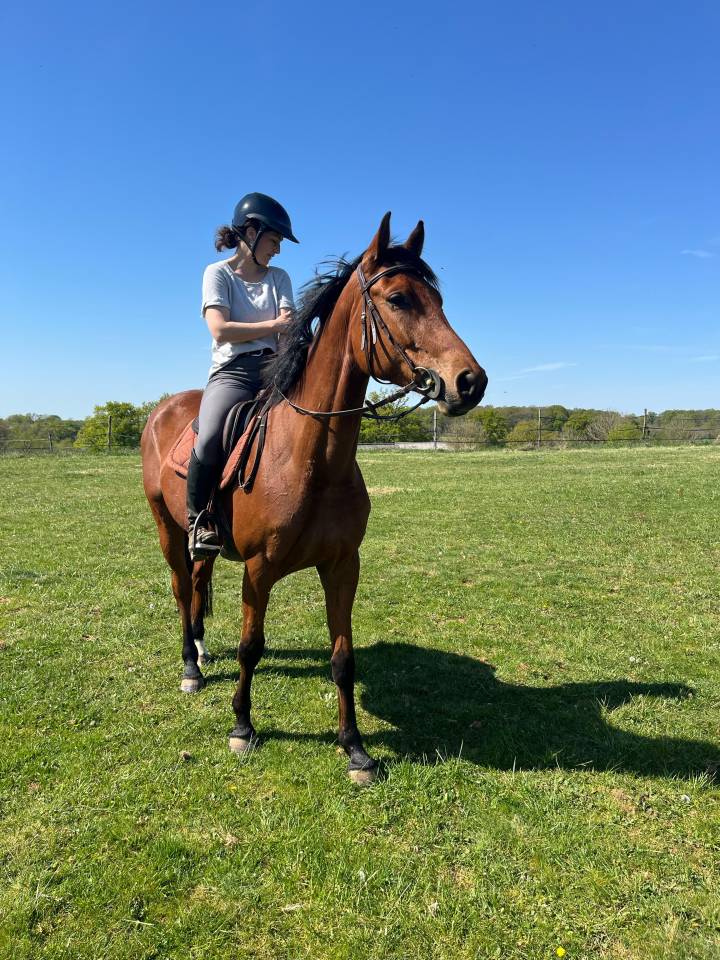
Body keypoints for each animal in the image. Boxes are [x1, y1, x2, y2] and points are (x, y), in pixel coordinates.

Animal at [141, 212, 487, 783]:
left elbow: (343, 658)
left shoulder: (343, 565)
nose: (471, 382)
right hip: (167, 529)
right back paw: (190, 666)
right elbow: (251, 647)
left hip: (200, 539)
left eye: (438, 300)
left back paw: (202, 651)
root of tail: (164, 409)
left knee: (197, 583)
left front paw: (355, 749)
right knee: (179, 587)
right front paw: (242, 728)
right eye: (399, 299)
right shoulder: (259, 569)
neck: (313, 459)